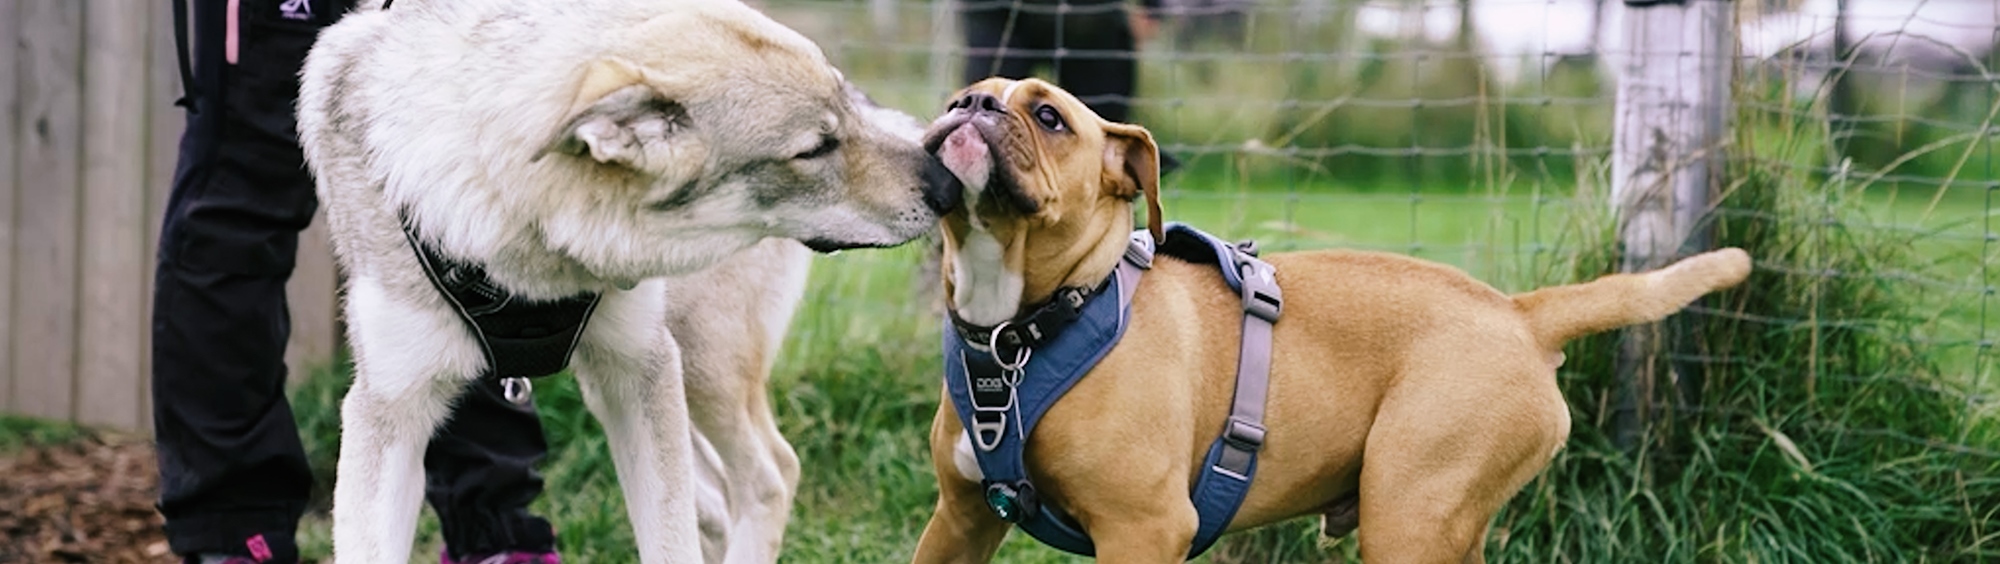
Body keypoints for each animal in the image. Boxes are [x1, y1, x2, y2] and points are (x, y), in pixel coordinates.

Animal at [292, 2, 960, 560]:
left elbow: (669, 540)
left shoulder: (643, 368)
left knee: (770, 476)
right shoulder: (389, 412)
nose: (950, 186)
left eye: (843, 106)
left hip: (700, 369)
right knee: (720, 500)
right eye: (816, 148)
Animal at [912, 77, 1752, 560]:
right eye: (959, 97)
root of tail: (1520, 314)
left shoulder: (1143, 530)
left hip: (1410, 515)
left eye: (1050, 117)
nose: (971, 107)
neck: (1027, 328)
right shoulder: (960, 520)